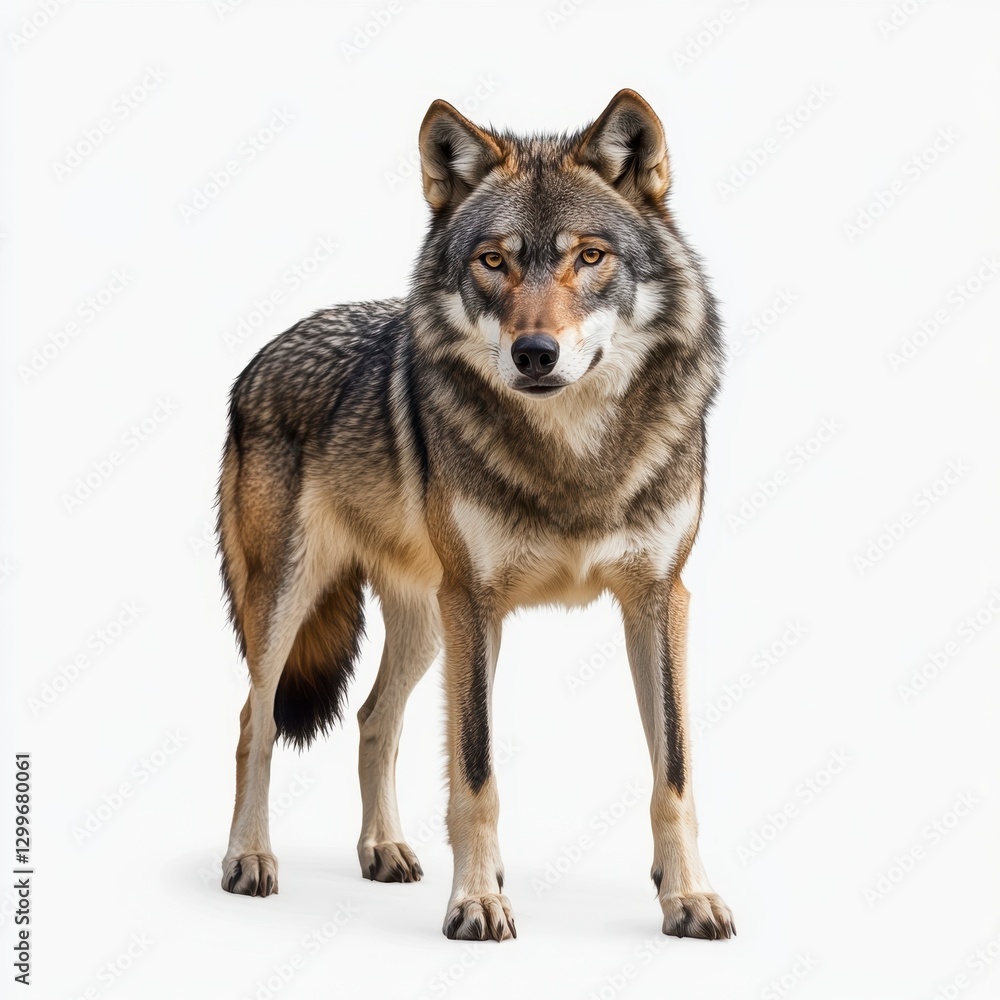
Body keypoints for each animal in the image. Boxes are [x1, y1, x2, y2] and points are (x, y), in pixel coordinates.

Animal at [217, 89, 734, 941]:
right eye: (494, 261)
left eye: (589, 257)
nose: (534, 354)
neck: (572, 458)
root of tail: (262, 353)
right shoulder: (478, 603)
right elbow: (476, 771)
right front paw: (478, 901)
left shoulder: (660, 597)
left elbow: (677, 772)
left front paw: (687, 896)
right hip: (293, 603)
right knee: (251, 726)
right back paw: (250, 859)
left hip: (428, 621)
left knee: (372, 719)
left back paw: (384, 850)